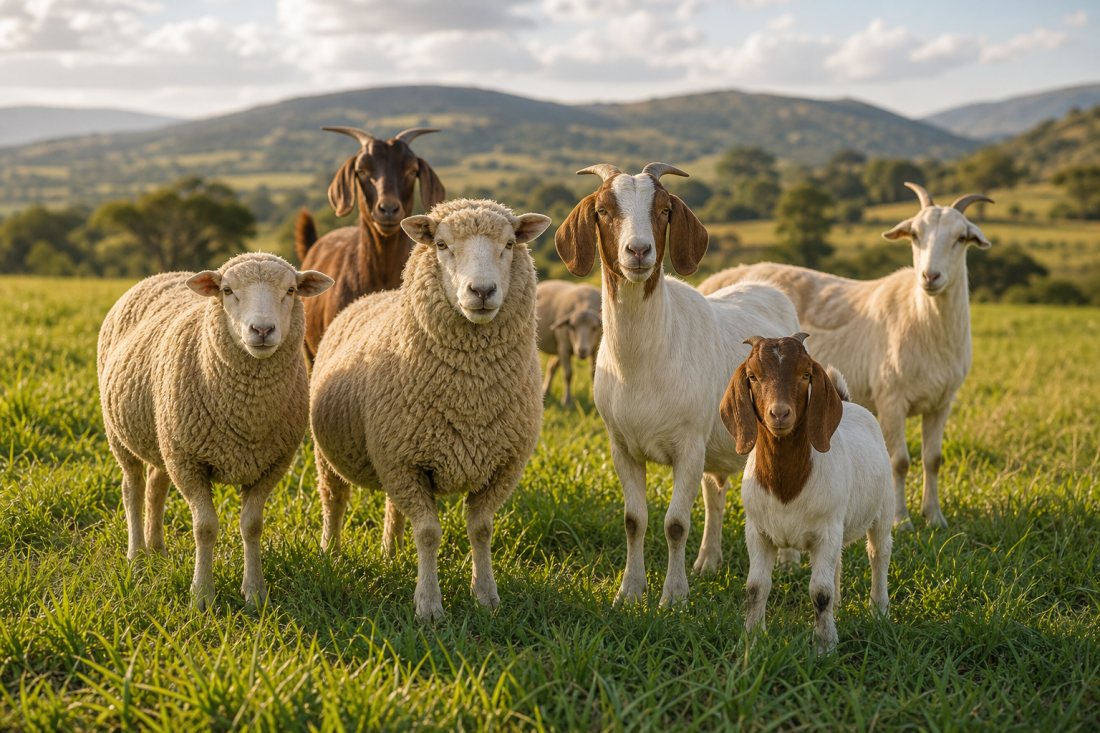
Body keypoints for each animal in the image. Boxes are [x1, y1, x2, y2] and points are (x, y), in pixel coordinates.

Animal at [97, 252, 334, 609]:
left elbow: (252, 526)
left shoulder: (271, 464)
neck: (247, 411)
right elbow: (205, 528)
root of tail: (162, 274)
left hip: (165, 438)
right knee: (133, 490)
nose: (262, 329)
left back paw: (158, 552)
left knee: (155, 488)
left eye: (291, 290)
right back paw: (136, 556)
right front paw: (202, 596)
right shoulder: (189, 462)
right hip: (123, 436)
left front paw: (255, 593)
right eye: (227, 290)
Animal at [309, 198, 551, 621]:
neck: (470, 395)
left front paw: (486, 596)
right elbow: (428, 533)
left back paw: (390, 553)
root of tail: (376, 294)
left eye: (509, 244)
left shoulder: (500, 466)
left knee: (393, 508)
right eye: (441, 245)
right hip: (334, 454)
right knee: (334, 500)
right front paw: (429, 605)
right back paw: (330, 553)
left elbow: (481, 530)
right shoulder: (405, 462)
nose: (482, 290)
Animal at [555, 162, 801, 607]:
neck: (642, 362)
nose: (638, 251)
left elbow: (675, 524)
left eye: (665, 210)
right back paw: (708, 561)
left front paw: (673, 596)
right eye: (602, 210)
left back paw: (788, 562)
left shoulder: (688, 445)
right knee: (715, 493)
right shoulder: (622, 446)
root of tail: (768, 286)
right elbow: (634, 520)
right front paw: (630, 591)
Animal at [698, 183, 993, 529]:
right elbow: (900, 461)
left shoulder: (942, 401)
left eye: (961, 238)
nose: (930, 277)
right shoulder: (891, 398)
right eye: (915, 235)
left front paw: (934, 517)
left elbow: (933, 459)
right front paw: (901, 519)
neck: (924, 319)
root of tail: (713, 279)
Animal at [719, 333, 893, 652]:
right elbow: (755, 587)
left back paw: (879, 611)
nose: (779, 413)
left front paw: (824, 646)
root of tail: (847, 402)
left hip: (884, 507)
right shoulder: (757, 531)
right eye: (753, 376)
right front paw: (751, 639)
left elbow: (820, 592)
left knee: (879, 553)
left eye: (804, 375)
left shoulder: (826, 530)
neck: (787, 485)